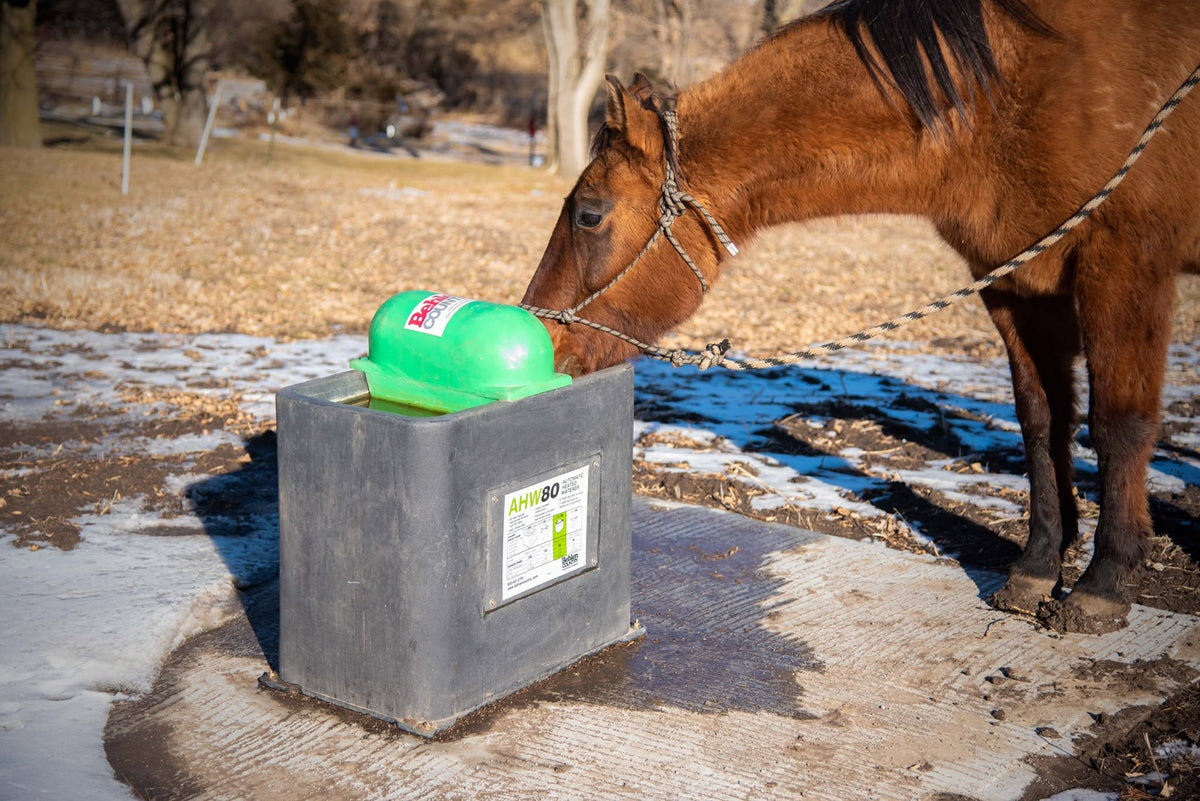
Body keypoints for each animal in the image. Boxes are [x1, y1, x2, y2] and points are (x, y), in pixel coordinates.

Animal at [520, 0, 1200, 634]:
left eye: (589, 214)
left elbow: (1119, 424)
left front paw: (1103, 582)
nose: (541, 333)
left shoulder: (1127, 264)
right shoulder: (1015, 280)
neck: (1022, 88)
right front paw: (1037, 567)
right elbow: (1041, 421)